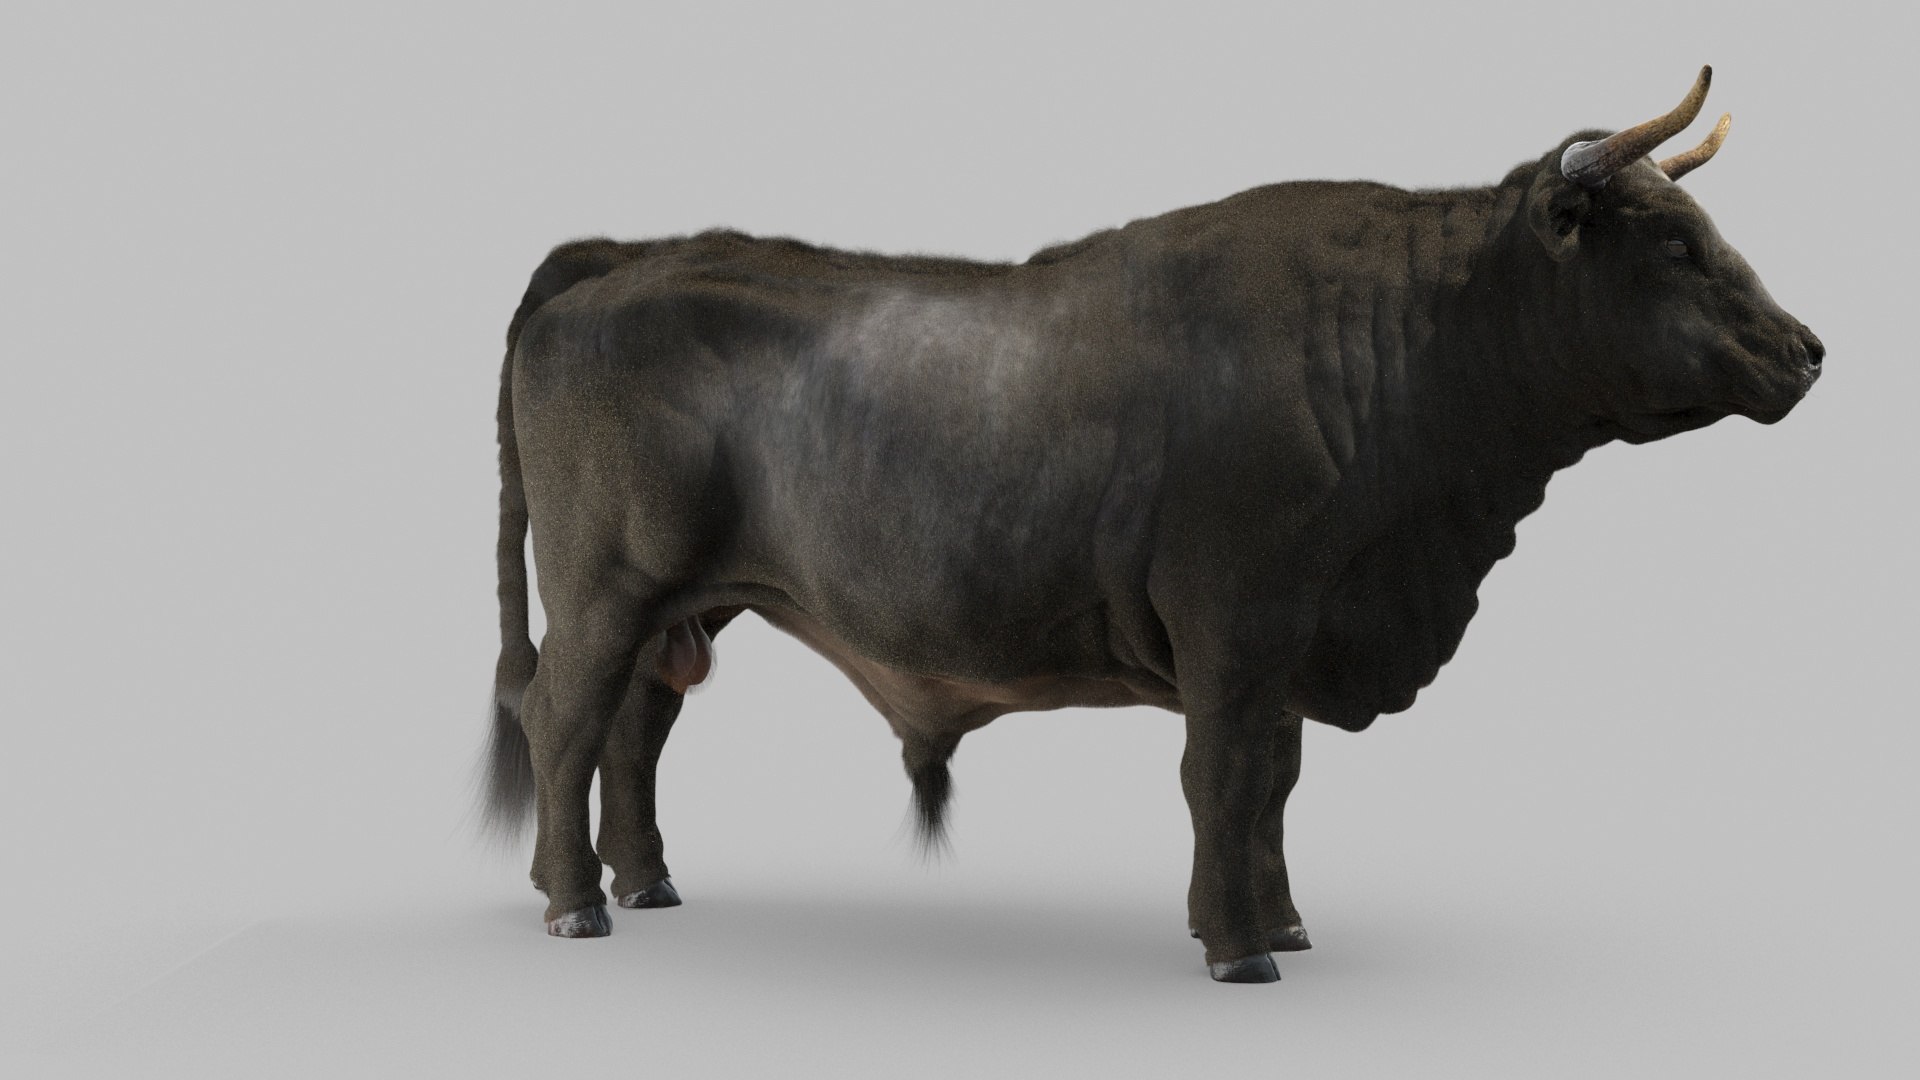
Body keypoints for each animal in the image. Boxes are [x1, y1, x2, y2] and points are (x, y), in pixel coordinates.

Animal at [479, 67, 1822, 982]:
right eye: (1673, 243)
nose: (1809, 350)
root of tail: (627, 256)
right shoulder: (1237, 621)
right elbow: (1224, 778)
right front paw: (1238, 947)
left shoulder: (1290, 634)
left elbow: (1275, 782)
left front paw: (1283, 918)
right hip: (604, 589)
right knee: (564, 719)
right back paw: (573, 900)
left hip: (687, 606)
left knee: (634, 735)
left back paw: (646, 881)